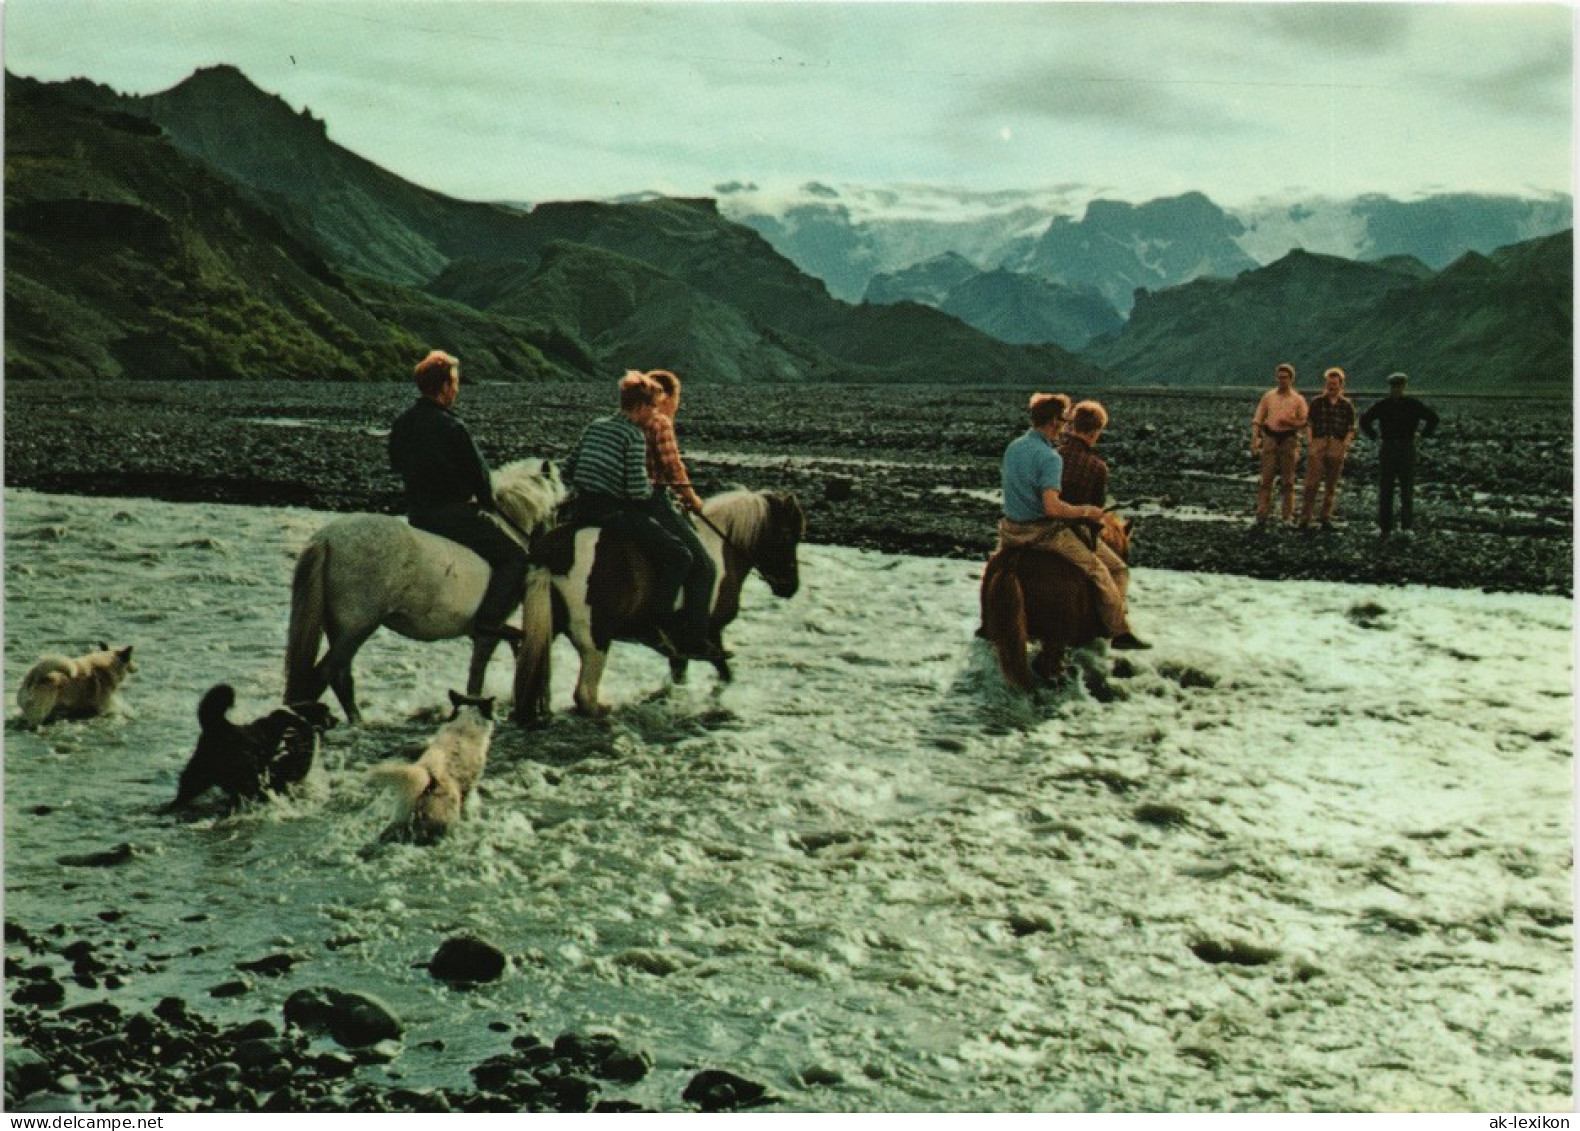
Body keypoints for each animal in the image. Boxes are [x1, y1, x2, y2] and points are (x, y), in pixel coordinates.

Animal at [168, 679, 334, 815]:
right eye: (329, 712)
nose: (336, 719)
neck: (301, 716)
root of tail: (221, 726)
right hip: (244, 775)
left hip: (199, 771)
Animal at [285, 458, 568, 723]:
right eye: (556, 509)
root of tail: (327, 539)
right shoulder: (489, 631)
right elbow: (480, 671)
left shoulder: (484, 632)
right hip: (356, 628)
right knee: (327, 674)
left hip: (341, 630)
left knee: (339, 676)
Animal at [515, 486, 808, 717]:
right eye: (787, 535)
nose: (790, 587)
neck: (722, 548)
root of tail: (555, 551)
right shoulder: (710, 634)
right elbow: (724, 675)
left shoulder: (678, 645)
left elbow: (680, 676)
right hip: (594, 638)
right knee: (584, 695)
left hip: (547, 627)